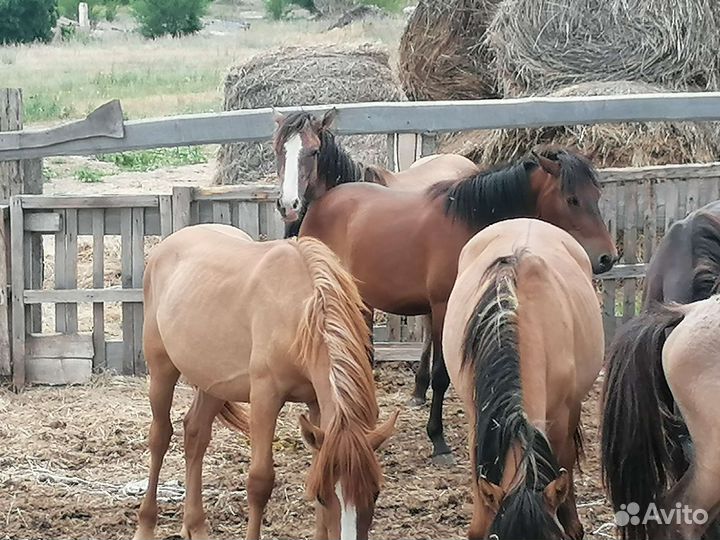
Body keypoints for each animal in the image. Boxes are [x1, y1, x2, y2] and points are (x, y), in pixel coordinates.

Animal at [133, 224, 398, 540]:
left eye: (375, 493)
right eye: (323, 496)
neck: (300, 312)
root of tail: (165, 247)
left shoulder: (316, 404)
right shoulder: (264, 398)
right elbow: (260, 482)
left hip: (213, 381)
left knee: (195, 434)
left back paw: (195, 525)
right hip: (161, 370)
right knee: (160, 437)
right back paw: (145, 525)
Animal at [298, 146, 617, 463]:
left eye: (597, 195)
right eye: (572, 199)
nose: (607, 257)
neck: (470, 224)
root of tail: (319, 204)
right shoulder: (442, 308)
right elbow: (441, 375)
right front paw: (438, 439)